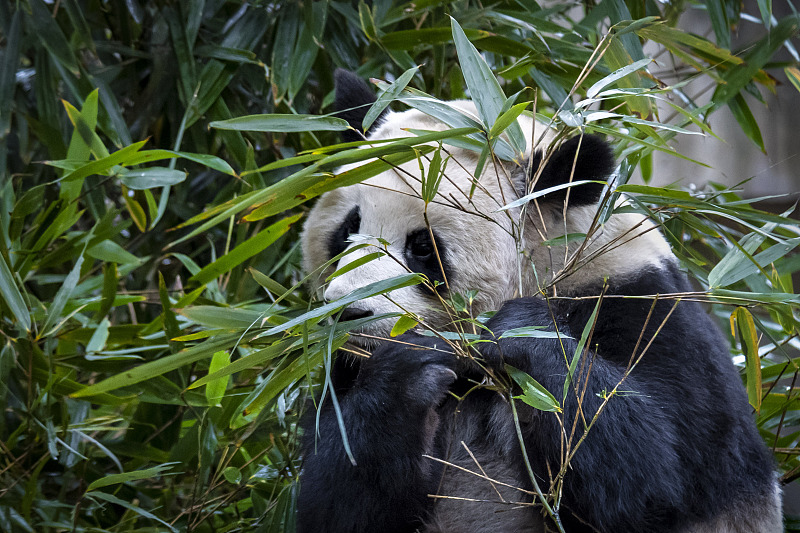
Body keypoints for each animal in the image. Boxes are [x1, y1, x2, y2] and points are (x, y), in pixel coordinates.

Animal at [296, 70, 782, 533]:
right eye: (348, 229)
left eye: (422, 246)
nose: (346, 312)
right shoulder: (342, 375)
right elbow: (340, 500)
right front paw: (407, 371)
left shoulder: (641, 307)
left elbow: (659, 478)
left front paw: (510, 333)